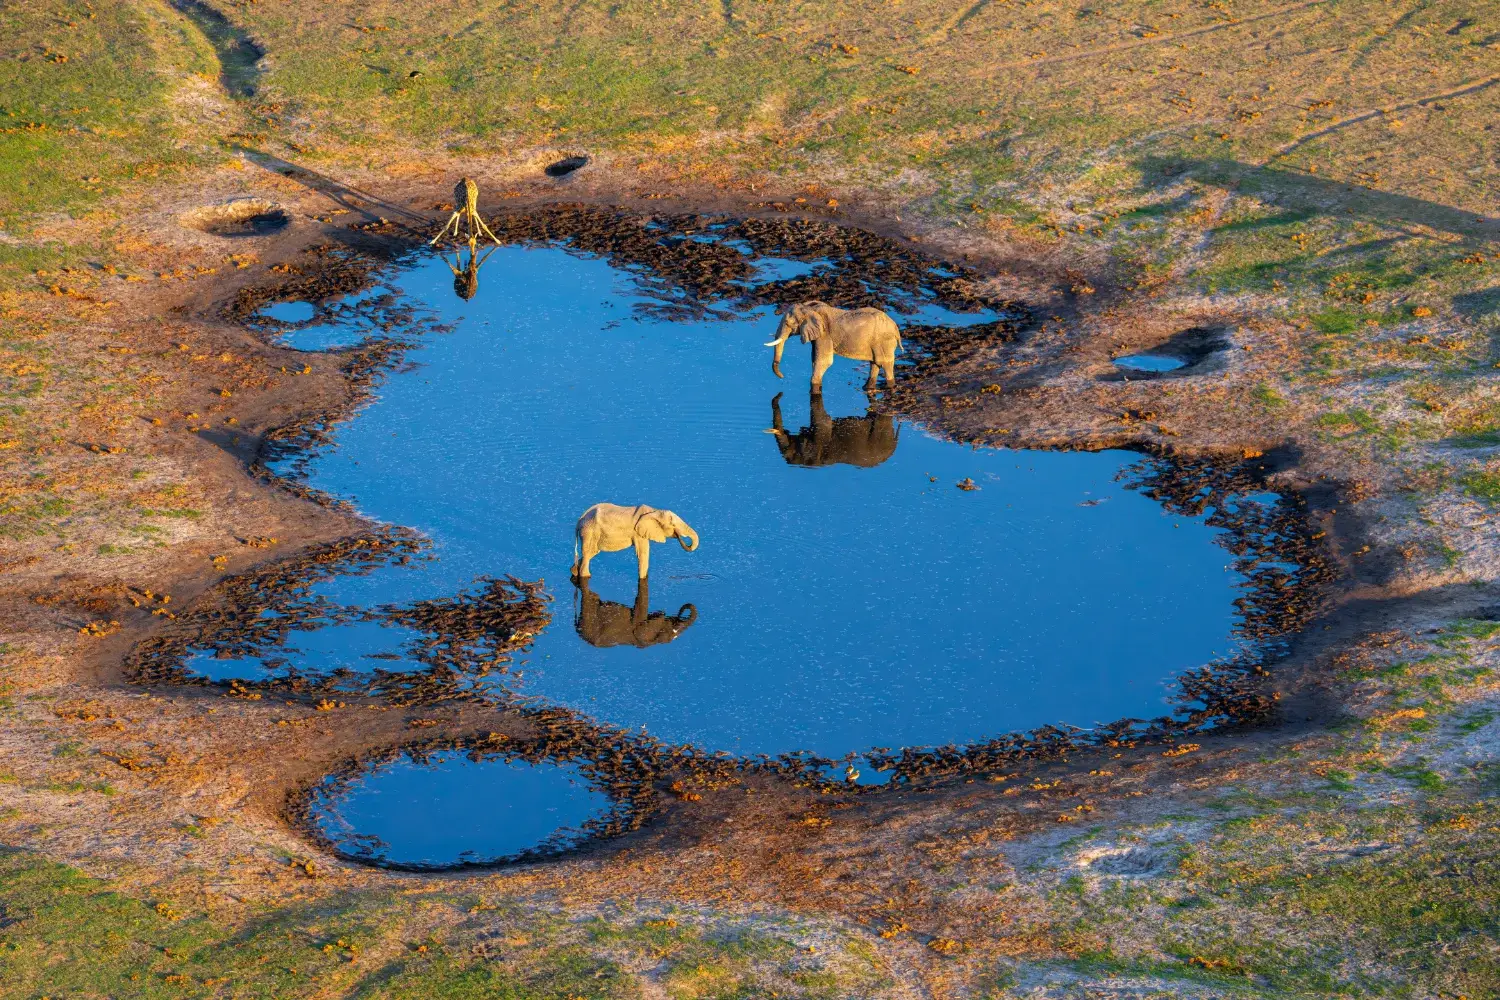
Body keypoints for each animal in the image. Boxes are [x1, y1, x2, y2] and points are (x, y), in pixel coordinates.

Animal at [570, 503, 699, 580]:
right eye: (672, 524)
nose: (679, 536)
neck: (654, 511)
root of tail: (579, 520)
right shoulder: (638, 533)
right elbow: (643, 554)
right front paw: (642, 578)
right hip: (589, 531)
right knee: (588, 554)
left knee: (591, 553)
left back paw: (574, 571)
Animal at [764, 301, 902, 392]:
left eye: (787, 323)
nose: (782, 377)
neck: (809, 309)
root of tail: (896, 328)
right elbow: (815, 359)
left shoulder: (825, 335)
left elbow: (824, 361)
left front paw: (814, 387)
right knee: (875, 363)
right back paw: (867, 388)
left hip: (885, 342)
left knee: (885, 364)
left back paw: (890, 387)